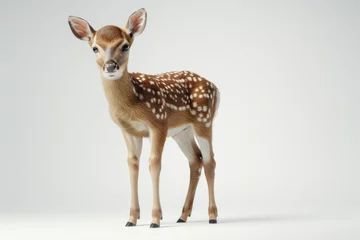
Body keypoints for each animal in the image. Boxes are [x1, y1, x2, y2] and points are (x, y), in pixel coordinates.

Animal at [68, 7, 219, 229]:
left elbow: (154, 163)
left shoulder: (158, 123)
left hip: (204, 120)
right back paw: (183, 215)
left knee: (210, 161)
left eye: (125, 45)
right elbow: (132, 164)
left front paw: (155, 219)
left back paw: (212, 215)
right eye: (95, 48)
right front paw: (131, 218)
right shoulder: (129, 130)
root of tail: (215, 87)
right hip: (182, 131)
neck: (132, 100)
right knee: (195, 160)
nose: (110, 66)